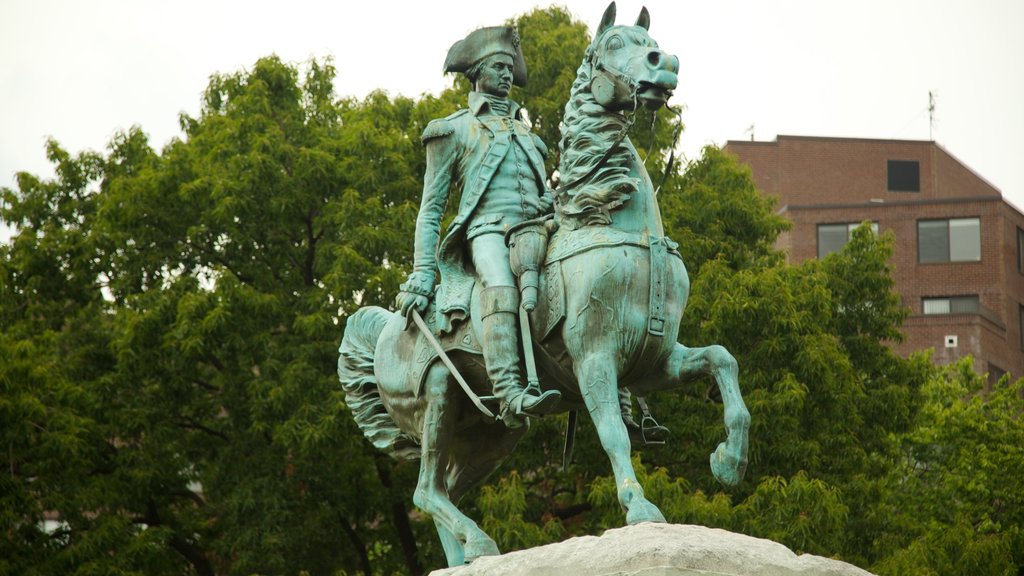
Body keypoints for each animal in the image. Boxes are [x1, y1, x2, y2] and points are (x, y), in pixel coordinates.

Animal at [339, 3, 749, 565]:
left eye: (651, 40)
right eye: (615, 43)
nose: (665, 64)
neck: (618, 225)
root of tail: (385, 330)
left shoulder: (654, 361)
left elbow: (722, 361)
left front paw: (729, 461)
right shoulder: (595, 359)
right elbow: (614, 434)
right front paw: (640, 507)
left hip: (488, 436)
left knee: (441, 489)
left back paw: (469, 555)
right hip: (439, 397)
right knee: (425, 488)